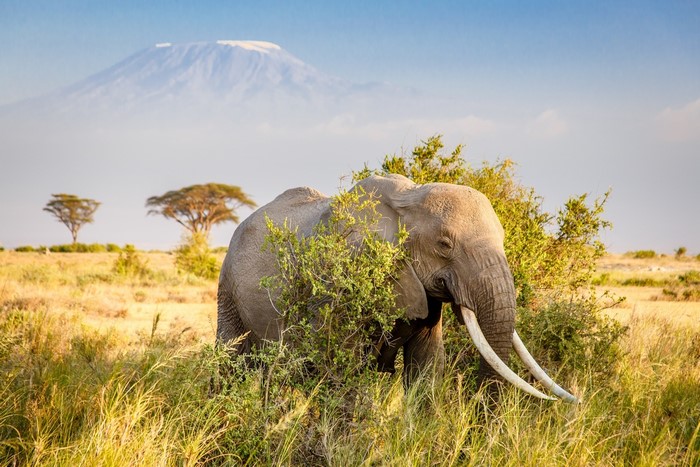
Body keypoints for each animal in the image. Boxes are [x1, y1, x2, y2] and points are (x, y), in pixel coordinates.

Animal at [217, 174, 577, 402]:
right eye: (445, 244)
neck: (408, 199)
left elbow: (426, 368)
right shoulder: (340, 278)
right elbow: (344, 369)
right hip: (228, 286)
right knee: (230, 360)